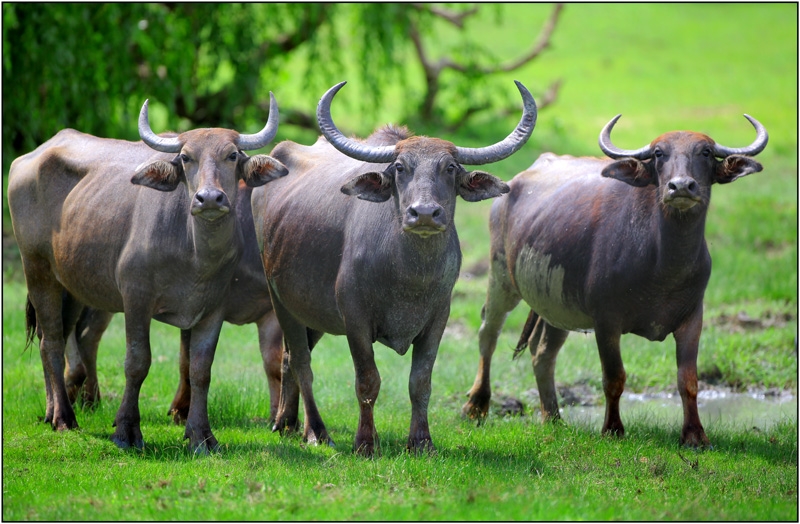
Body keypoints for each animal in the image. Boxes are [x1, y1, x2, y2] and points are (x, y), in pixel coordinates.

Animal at [7, 96, 290, 452]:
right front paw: (126, 429)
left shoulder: (214, 308)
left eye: (232, 155)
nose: (209, 198)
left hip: (72, 285)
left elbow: (200, 369)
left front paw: (201, 435)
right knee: (53, 342)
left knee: (59, 336)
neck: (194, 253)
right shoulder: (136, 299)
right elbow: (137, 362)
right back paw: (63, 417)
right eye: (186, 157)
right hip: (37, 269)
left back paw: (52, 410)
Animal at [250, 80, 536, 456]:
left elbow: (420, 381)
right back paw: (316, 430)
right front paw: (365, 443)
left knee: (287, 359)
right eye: (400, 167)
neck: (408, 277)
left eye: (450, 168)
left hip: (310, 309)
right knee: (300, 362)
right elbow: (367, 381)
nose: (425, 213)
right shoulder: (355, 319)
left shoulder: (437, 319)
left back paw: (286, 422)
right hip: (280, 300)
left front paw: (421, 441)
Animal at [462, 113, 768, 446]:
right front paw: (612, 428)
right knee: (488, 334)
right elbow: (614, 377)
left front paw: (695, 435)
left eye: (706, 152)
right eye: (659, 153)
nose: (681, 186)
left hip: (556, 304)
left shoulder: (692, 319)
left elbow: (688, 380)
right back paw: (475, 406)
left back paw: (553, 417)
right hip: (501, 277)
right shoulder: (606, 322)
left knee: (542, 353)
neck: (663, 265)